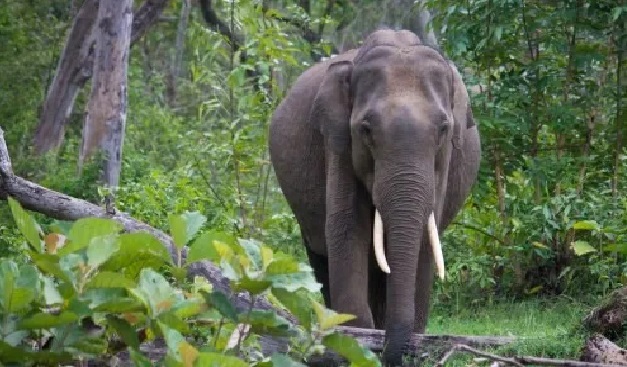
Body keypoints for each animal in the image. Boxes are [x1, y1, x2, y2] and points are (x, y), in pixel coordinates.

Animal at [268, 28, 480, 366]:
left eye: (443, 129)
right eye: (366, 130)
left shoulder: (445, 158)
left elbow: (425, 235)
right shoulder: (337, 140)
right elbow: (346, 226)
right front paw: (357, 343)